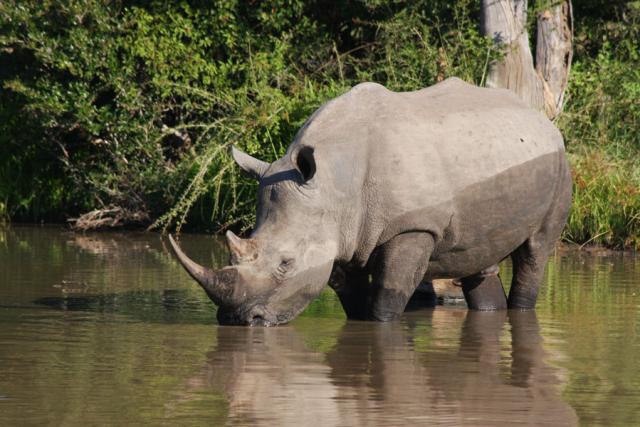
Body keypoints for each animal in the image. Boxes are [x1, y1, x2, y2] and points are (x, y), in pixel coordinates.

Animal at [169, 77, 572, 326]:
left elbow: (387, 297)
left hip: (559, 162)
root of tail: (541, 118)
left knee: (536, 250)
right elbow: (353, 298)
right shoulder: (342, 234)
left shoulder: (412, 228)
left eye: (286, 263)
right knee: (477, 254)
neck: (332, 183)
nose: (237, 319)